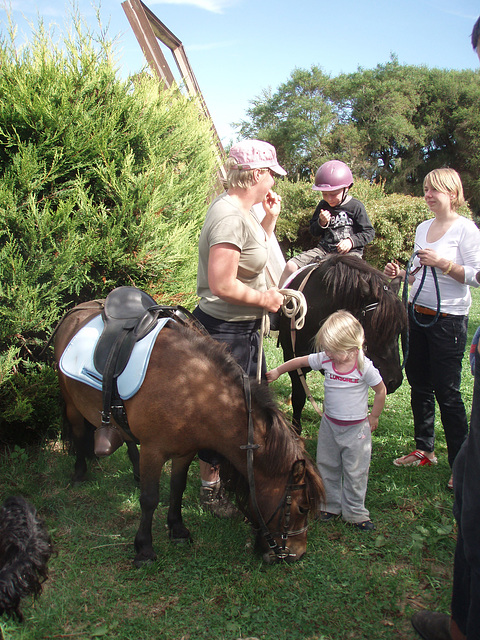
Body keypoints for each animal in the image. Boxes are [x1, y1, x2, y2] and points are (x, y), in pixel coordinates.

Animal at [55, 302, 326, 564]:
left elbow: (178, 488)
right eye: (302, 508)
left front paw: (177, 529)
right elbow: (149, 499)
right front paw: (144, 548)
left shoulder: (185, 452)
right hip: (71, 405)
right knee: (78, 433)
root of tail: (79, 310)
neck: (191, 388)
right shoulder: (153, 452)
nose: (298, 553)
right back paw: (79, 472)